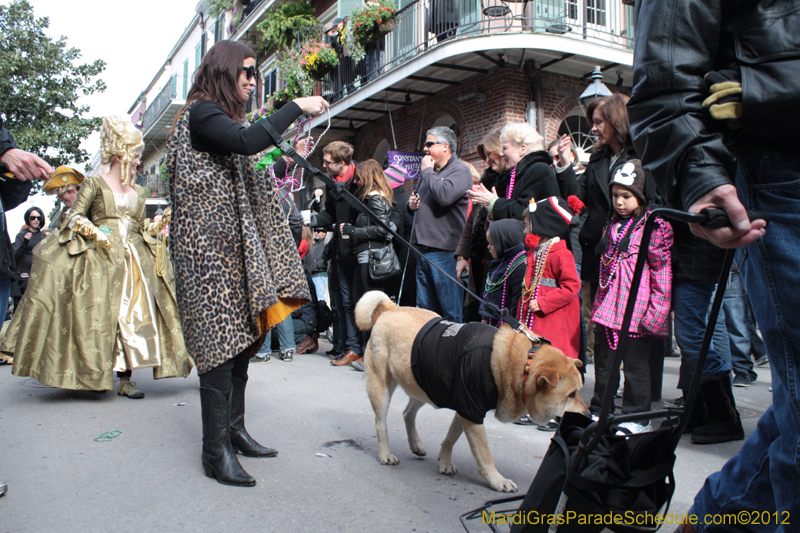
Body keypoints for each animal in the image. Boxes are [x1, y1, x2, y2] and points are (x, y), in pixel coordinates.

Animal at [356, 290, 588, 490]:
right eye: (571, 395)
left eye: (579, 391)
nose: (588, 415)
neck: (523, 364)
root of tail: (391, 307)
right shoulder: (471, 411)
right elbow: (484, 455)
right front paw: (497, 480)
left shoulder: (466, 410)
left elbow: (450, 438)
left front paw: (444, 461)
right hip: (381, 389)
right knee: (381, 423)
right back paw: (386, 454)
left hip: (424, 386)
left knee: (407, 413)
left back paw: (415, 444)